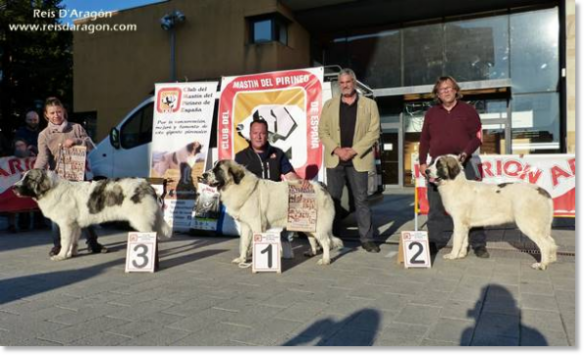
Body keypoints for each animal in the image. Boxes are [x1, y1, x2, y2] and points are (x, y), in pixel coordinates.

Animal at [13, 168, 171, 260]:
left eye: (29, 179)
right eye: (22, 177)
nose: (13, 188)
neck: (51, 189)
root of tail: (147, 185)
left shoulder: (66, 225)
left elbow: (65, 241)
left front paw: (61, 255)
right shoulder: (75, 225)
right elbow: (73, 241)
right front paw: (71, 254)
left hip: (141, 221)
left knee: (152, 236)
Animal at [200, 159, 342, 264]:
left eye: (218, 170)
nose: (203, 175)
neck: (237, 185)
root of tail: (321, 187)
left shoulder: (257, 225)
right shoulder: (246, 226)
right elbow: (244, 243)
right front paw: (242, 259)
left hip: (318, 225)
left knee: (326, 242)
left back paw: (325, 260)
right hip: (306, 223)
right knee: (313, 238)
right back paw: (312, 252)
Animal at [424, 154, 556, 268]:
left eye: (439, 165)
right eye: (432, 163)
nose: (425, 171)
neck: (455, 184)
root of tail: (541, 190)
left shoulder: (458, 222)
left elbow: (457, 240)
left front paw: (452, 255)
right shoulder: (465, 224)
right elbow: (464, 240)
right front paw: (461, 254)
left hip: (528, 224)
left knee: (545, 244)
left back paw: (542, 265)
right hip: (541, 226)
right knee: (551, 242)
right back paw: (551, 260)